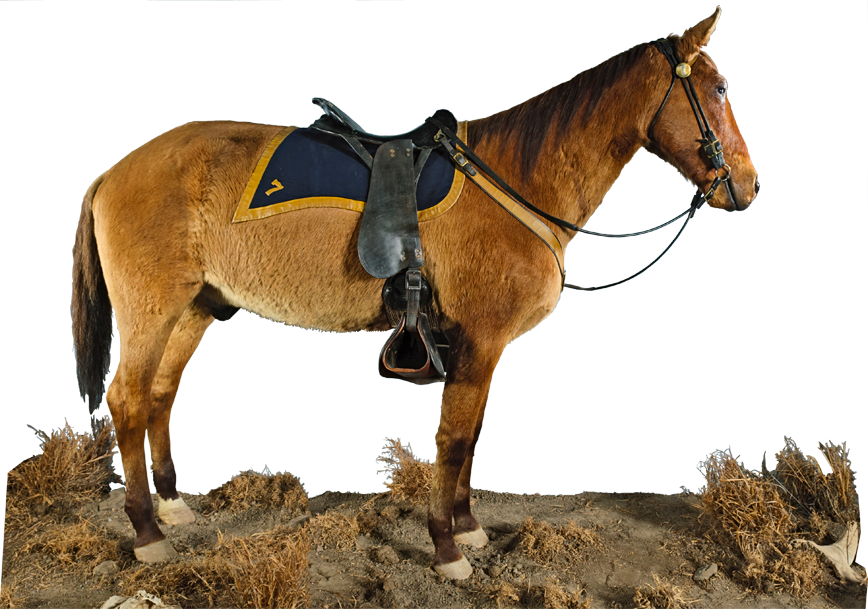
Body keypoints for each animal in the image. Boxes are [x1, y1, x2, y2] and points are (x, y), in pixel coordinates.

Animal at [73, 8, 757, 580]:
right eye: (721, 88)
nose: (747, 186)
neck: (514, 179)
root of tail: (114, 172)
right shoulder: (480, 341)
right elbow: (455, 440)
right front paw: (447, 546)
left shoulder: (479, 349)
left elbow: (473, 435)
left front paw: (469, 526)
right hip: (151, 311)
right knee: (127, 401)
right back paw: (147, 532)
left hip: (191, 308)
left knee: (160, 397)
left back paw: (173, 507)